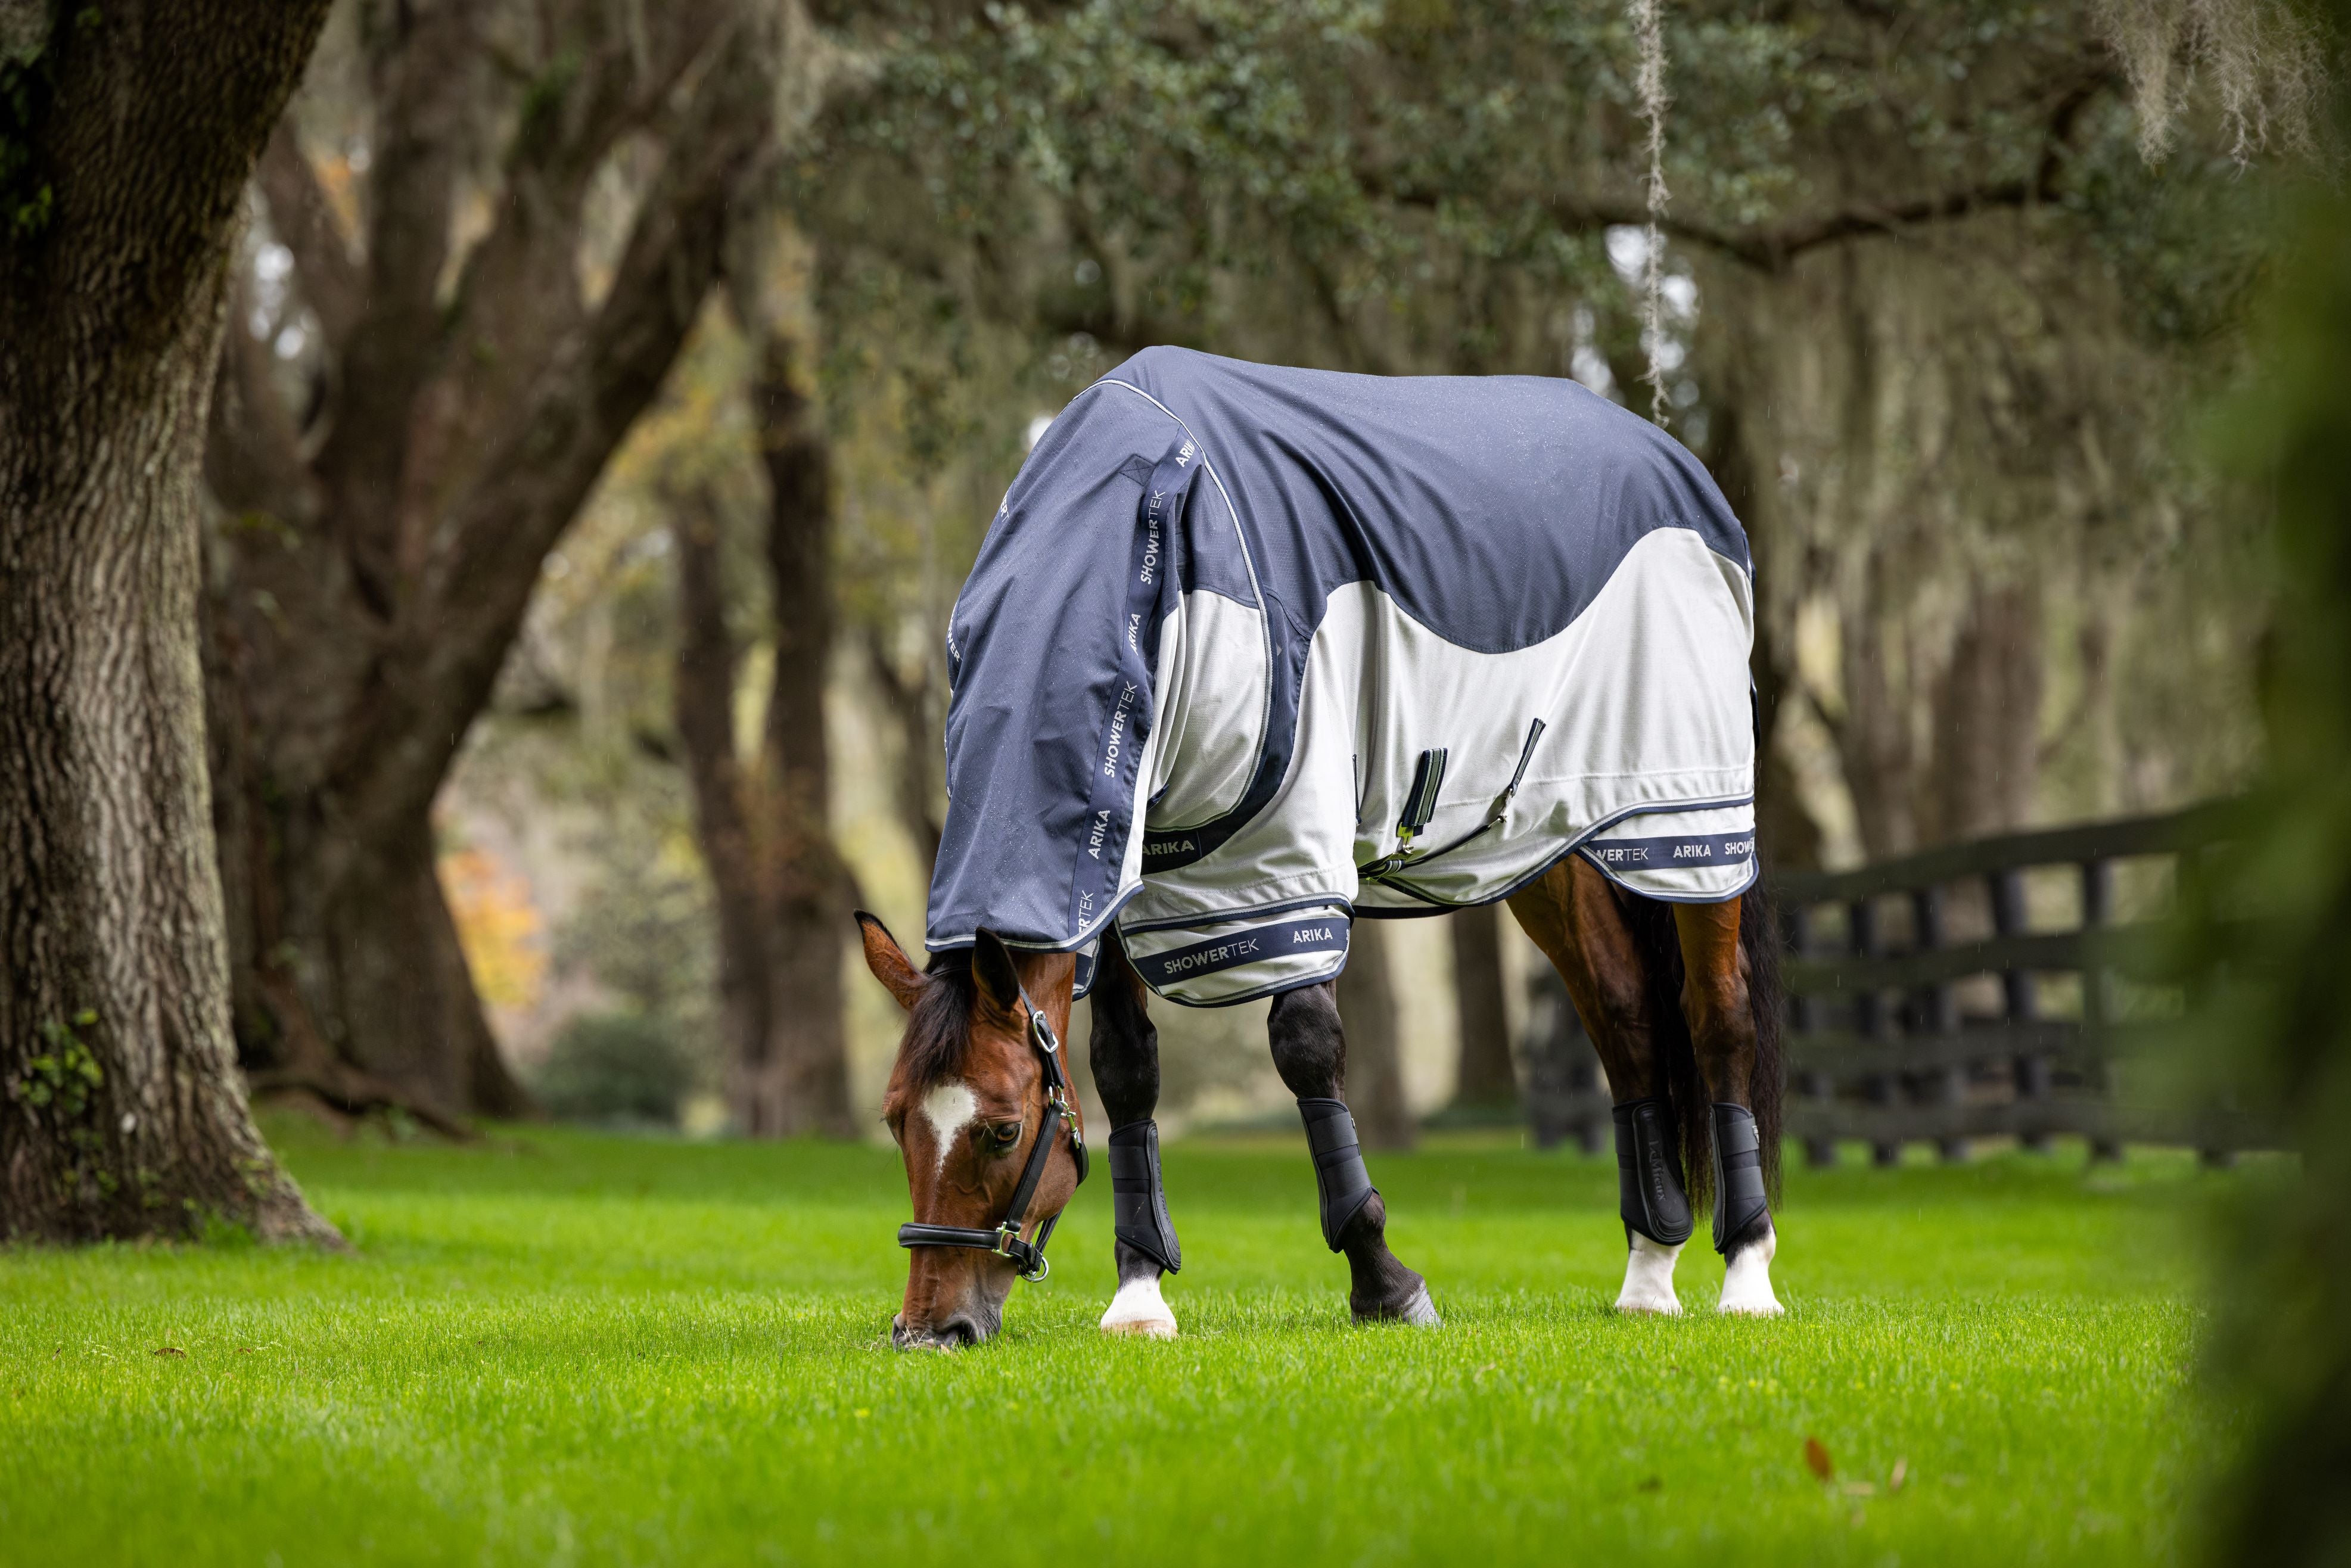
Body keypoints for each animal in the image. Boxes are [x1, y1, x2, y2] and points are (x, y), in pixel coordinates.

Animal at [860, 347, 1784, 1349]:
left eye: (997, 1129)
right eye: (896, 1120)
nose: (930, 1329)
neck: (1149, 546)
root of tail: (1668, 456)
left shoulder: (1282, 855)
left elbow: (1305, 1048)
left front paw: (1384, 1282)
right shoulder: (1110, 883)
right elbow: (1126, 1071)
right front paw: (1139, 1295)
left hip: (1687, 831)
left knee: (1717, 1016)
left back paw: (1746, 1276)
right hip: (1557, 846)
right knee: (1625, 1019)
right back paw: (1647, 1276)